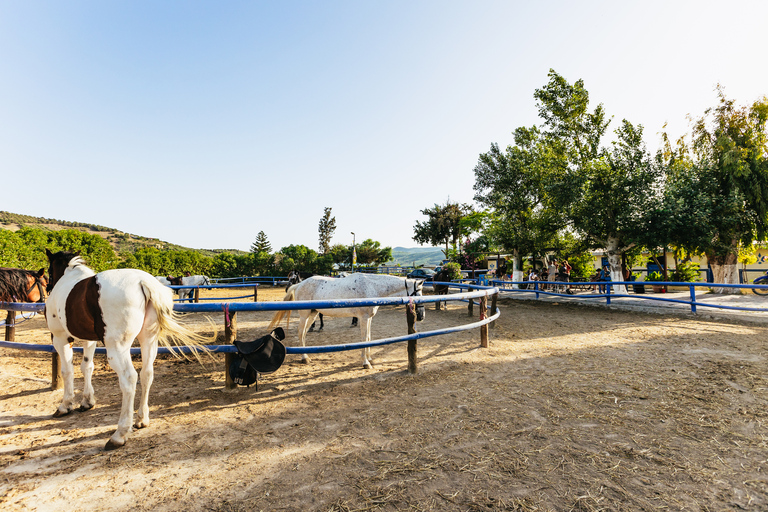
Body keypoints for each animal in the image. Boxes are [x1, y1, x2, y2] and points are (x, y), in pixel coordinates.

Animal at [45, 250, 213, 450]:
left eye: (49, 270)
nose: (47, 286)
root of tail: (142, 282)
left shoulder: (60, 338)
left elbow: (67, 371)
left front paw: (65, 405)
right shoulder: (90, 340)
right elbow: (87, 368)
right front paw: (87, 401)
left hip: (117, 348)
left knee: (129, 379)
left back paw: (120, 434)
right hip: (148, 341)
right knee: (146, 374)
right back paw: (142, 419)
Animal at [268, 272, 426, 368]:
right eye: (418, 294)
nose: (421, 316)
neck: (371, 287)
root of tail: (299, 284)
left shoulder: (368, 319)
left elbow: (369, 337)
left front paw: (369, 358)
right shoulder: (363, 318)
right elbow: (364, 339)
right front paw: (365, 363)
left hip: (313, 314)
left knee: (304, 333)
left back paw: (306, 355)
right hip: (304, 314)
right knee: (300, 332)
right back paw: (305, 357)